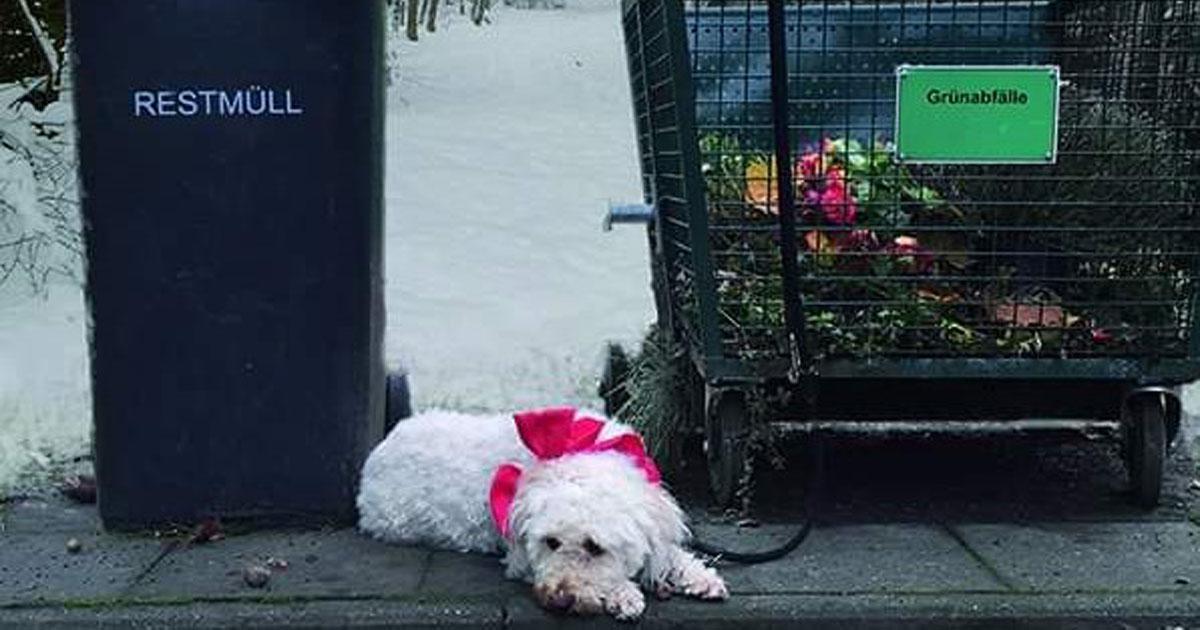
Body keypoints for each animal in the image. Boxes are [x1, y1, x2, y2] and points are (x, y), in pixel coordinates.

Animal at [355, 405, 724, 614]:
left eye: (595, 547)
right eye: (551, 542)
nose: (560, 599)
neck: (580, 452)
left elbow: (670, 554)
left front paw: (700, 577)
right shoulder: (520, 558)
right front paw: (623, 594)